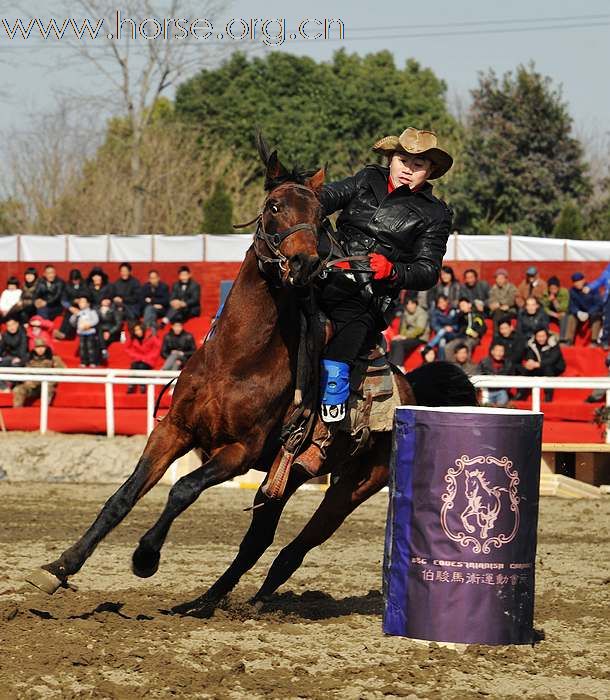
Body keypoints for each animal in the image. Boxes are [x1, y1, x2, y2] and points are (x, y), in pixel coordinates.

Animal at [28, 142, 476, 608]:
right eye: (274, 205)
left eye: (319, 215)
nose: (305, 262)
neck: (237, 358)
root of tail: (409, 388)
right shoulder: (173, 429)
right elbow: (123, 496)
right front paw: (59, 567)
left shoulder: (240, 451)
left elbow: (183, 488)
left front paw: (145, 556)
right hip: (288, 477)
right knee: (258, 540)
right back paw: (205, 603)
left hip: (355, 485)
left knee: (293, 547)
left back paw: (241, 602)